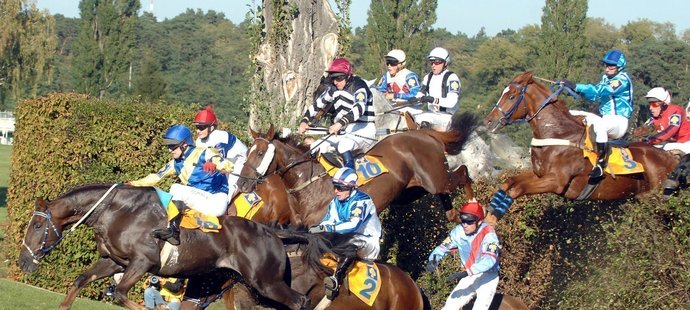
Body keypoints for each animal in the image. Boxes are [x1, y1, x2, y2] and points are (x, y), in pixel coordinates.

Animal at [234, 114, 476, 228]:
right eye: (248, 153)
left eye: (260, 153)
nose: (241, 183)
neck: (308, 184)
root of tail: (423, 133)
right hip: (411, 191)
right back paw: (453, 214)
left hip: (436, 179)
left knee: (463, 173)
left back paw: (475, 207)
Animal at [482, 71, 676, 218]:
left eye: (511, 96)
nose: (488, 121)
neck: (558, 134)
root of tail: (669, 157)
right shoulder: (539, 174)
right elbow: (508, 183)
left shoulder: (556, 181)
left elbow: (517, 189)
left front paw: (491, 222)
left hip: (658, 198)